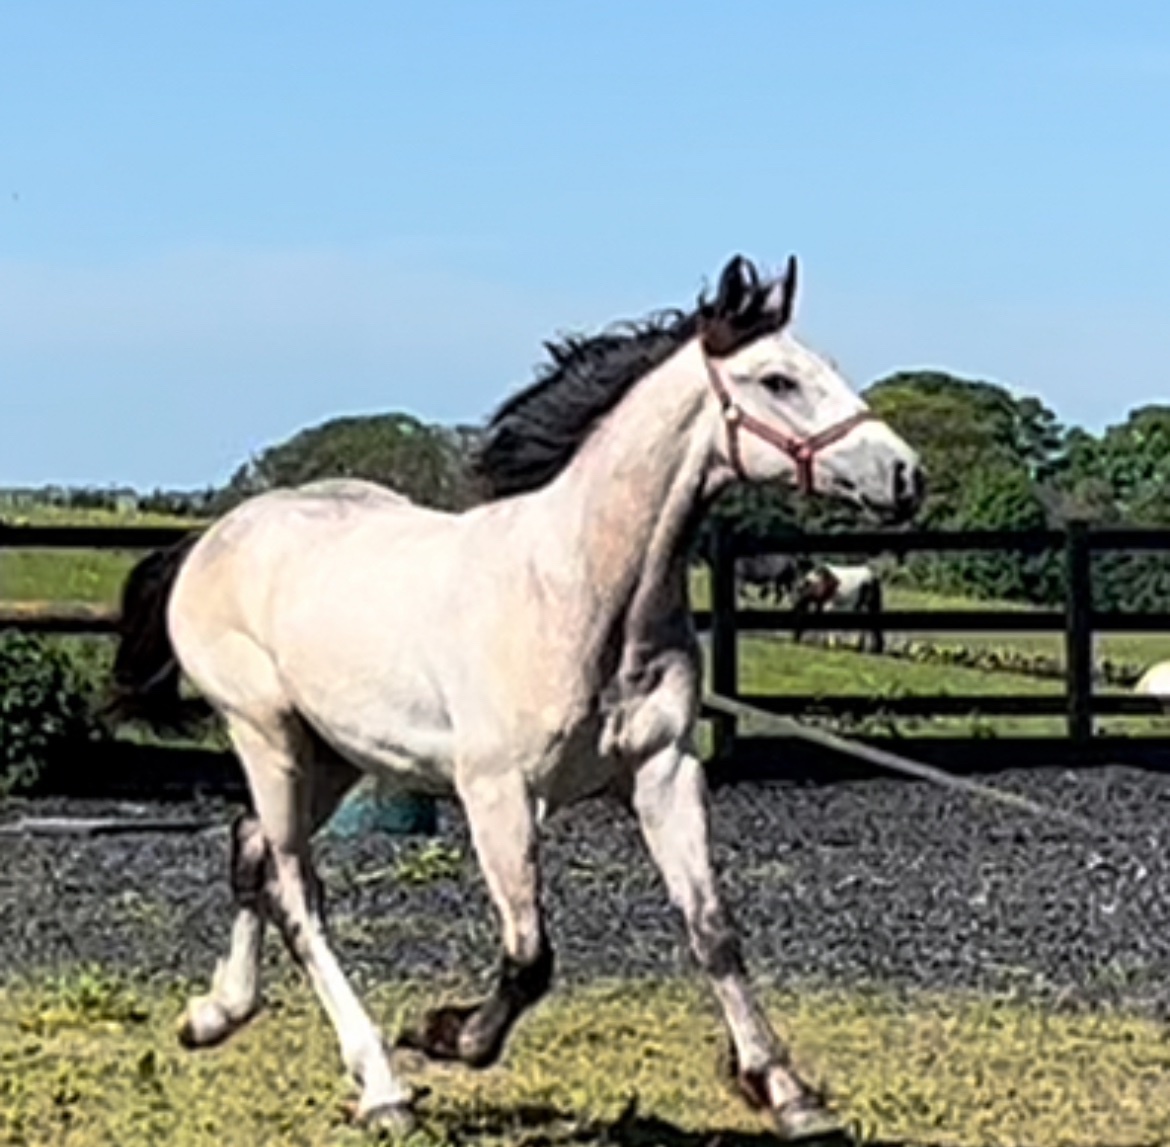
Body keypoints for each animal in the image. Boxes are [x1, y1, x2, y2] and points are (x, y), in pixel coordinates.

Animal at [108, 254, 924, 1141]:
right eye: (778, 379)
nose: (905, 475)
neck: (582, 592)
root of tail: (211, 538)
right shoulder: (497, 792)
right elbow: (531, 957)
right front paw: (443, 1032)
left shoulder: (663, 771)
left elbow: (712, 929)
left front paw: (787, 1091)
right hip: (268, 737)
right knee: (298, 891)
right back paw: (382, 1084)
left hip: (331, 754)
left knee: (250, 846)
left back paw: (214, 1014)